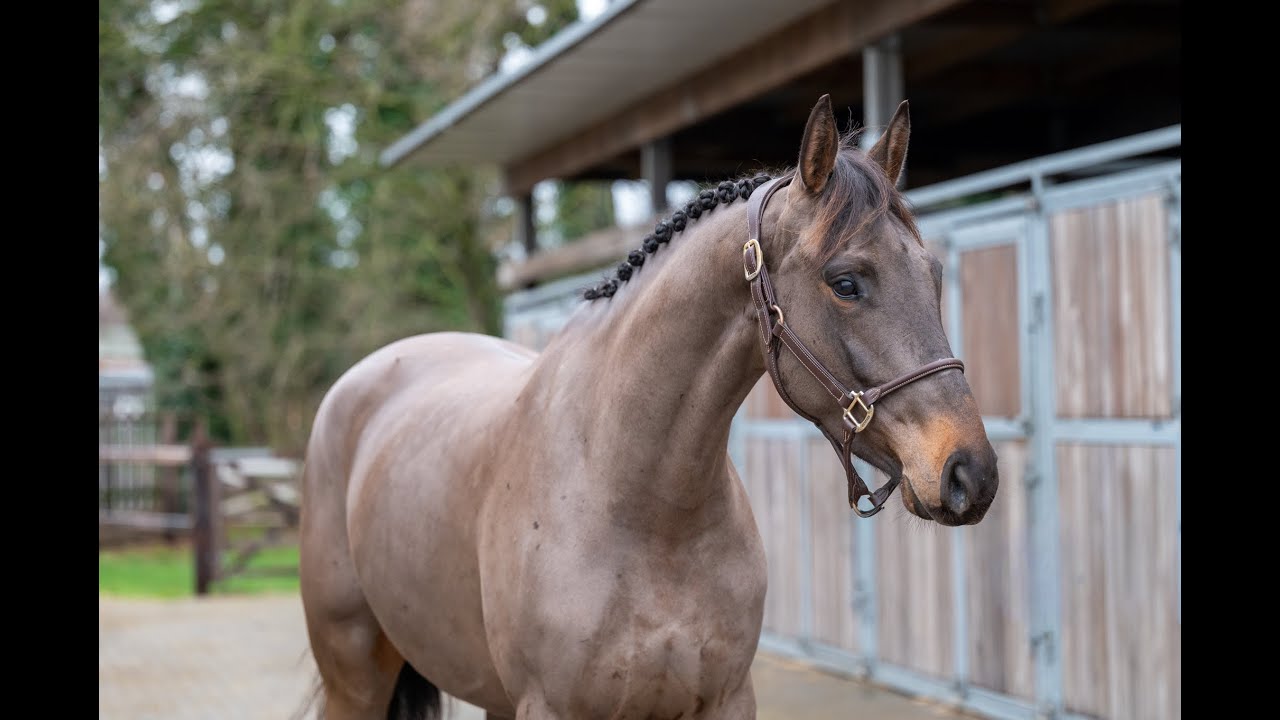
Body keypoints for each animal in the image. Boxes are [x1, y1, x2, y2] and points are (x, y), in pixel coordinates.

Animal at [299, 94, 999, 720]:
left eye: (935, 274)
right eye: (845, 282)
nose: (970, 473)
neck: (642, 506)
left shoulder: (725, 701)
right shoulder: (552, 708)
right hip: (354, 677)